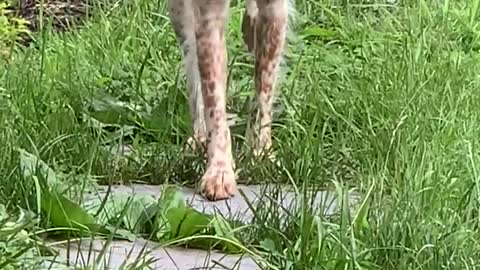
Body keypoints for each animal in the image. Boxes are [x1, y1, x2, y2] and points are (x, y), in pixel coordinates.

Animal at [167, 0, 290, 200]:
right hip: (178, 13)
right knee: (193, 66)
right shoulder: (209, 15)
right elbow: (214, 103)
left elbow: (264, 93)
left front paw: (262, 153)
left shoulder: (275, 10)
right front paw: (219, 172)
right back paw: (198, 139)